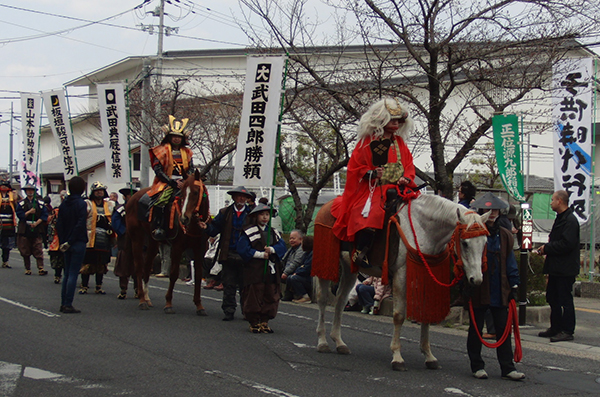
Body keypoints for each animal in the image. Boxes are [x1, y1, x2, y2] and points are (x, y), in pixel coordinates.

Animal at [125, 169, 210, 314]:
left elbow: (199, 274)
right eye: (182, 193)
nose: (184, 218)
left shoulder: (199, 248)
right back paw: (142, 300)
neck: (194, 225)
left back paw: (147, 298)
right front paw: (168, 303)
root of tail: (133, 197)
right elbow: (174, 273)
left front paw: (199, 305)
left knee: (147, 266)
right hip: (137, 237)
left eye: (196, 192)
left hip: (153, 241)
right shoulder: (177, 246)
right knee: (139, 266)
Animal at [312, 193, 490, 370]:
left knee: (341, 300)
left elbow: (425, 313)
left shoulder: (424, 275)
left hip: (350, 267)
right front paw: (397, 357)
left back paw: (339, 342)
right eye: (465, 243)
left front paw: (429, 356)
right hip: (326, 260)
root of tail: (326, 206)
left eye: (484, 243)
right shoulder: (401, 275)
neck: (423, 229)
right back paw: (322, 341)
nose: (477, 279)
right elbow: (398, 315)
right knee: (322, 299)